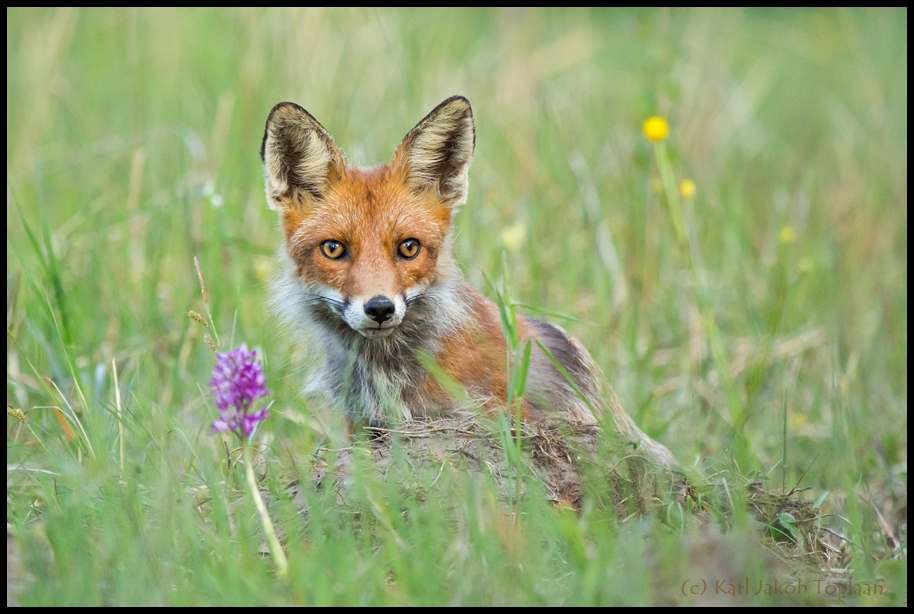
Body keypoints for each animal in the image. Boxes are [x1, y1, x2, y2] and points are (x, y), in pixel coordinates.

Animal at [261, 96, 675, 468]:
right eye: (333, 249)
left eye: (408, 247)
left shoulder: (493, 413)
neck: (387, 374)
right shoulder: (362, 427)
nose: (379, 308)